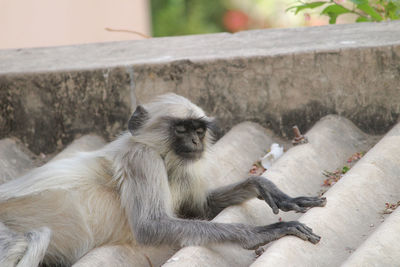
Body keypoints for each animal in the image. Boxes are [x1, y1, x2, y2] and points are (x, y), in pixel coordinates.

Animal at [0, 93, 326, 266]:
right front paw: (261, 233)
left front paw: (267, 187)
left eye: (199, 130)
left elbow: (199, 209)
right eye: (181, 129)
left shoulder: (181, 168)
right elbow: (150, 227)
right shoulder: (142, 159)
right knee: (32, 237)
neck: (162, 156)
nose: (195, 141)